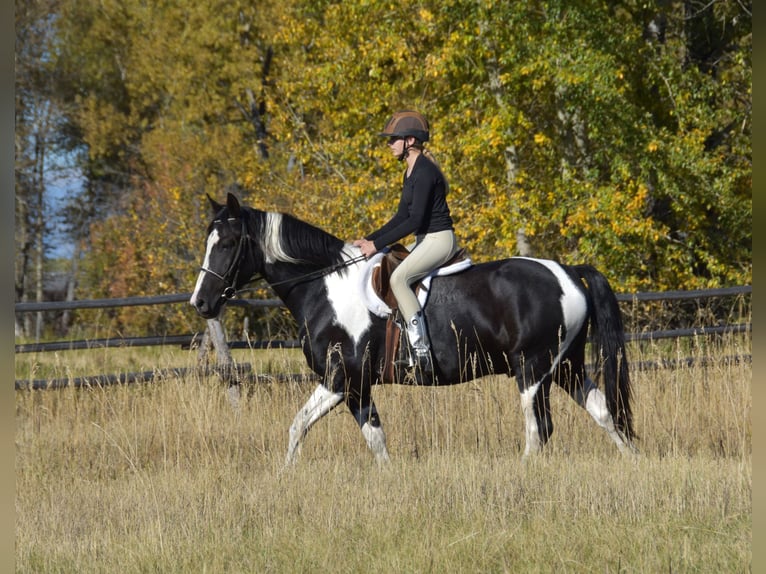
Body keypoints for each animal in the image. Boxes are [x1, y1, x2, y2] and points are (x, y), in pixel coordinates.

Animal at [190, 193, 637, 464]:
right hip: (566, 367)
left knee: (539, 429)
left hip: (533, 370)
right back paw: (632, 460)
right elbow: (374, 439)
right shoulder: (357, 387)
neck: (325, 286)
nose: (201, 303)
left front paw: (287, 477)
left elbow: (299, 425)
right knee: (604, 412)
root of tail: (569, 273)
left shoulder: (341, 379)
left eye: (227, 243)